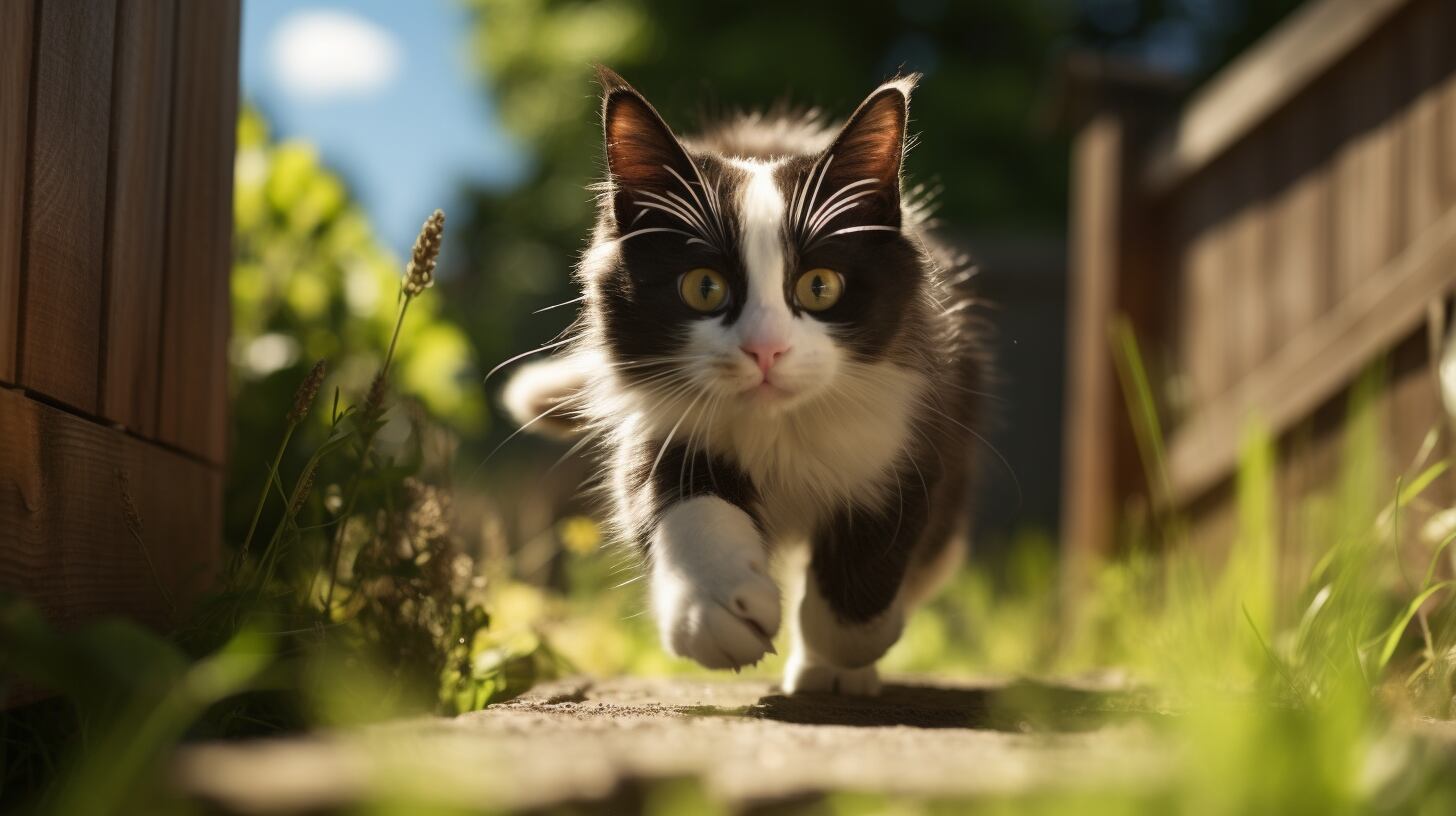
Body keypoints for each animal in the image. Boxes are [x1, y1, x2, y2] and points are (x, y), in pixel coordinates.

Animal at [506, 65, 984, 693]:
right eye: (704, 287)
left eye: (819, 286)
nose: (765, 349)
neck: (780, 430)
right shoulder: (662, 425)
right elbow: (676, 501)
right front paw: (715, 609)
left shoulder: (911, 432)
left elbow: (871, 565)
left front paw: (840, 648)